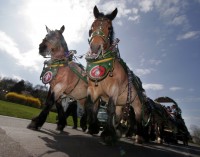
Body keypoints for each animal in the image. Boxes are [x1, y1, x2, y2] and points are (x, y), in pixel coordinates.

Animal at [85, 5, 147, 144]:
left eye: (109, 28)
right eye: (92, 26)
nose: (95, 47)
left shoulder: (113, 90)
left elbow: (109, 109)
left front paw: (107, 134)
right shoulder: (93, 90)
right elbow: (92, 107)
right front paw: (93, 127)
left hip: (137, 104)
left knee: (138, 118)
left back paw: (138, 136)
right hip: (121, 104)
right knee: (118, 116)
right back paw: (117, 132)